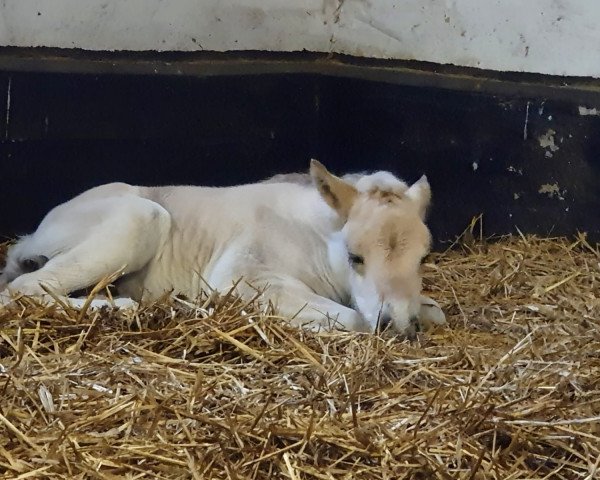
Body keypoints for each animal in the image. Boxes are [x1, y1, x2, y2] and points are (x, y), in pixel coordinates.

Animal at [1, 159, 446, 336]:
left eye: (422, 259)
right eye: (356, 257)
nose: (399, 324)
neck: (316, 236)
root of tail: (35, 233)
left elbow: (436, 312)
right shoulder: (243, 274)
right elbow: (354, 320)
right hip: (139, 219)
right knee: (21, 290)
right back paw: (127, 308)